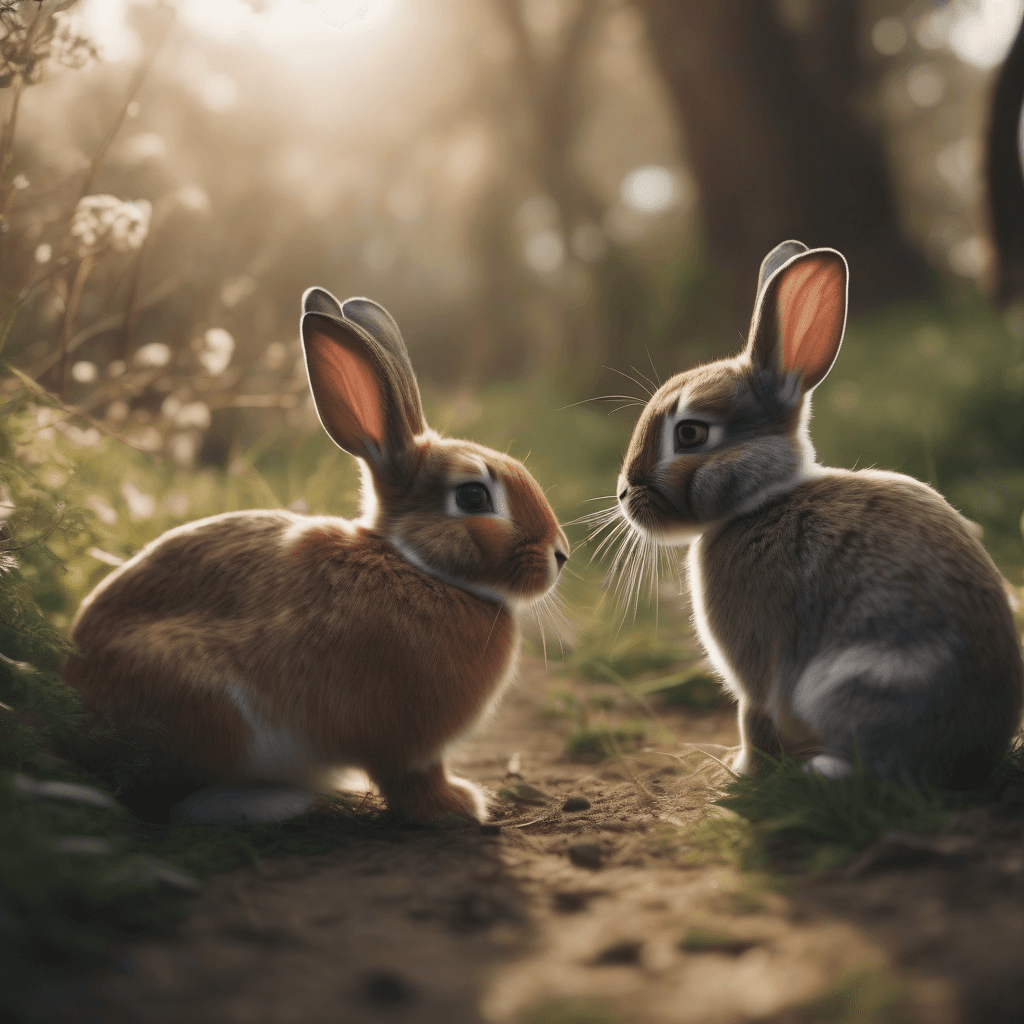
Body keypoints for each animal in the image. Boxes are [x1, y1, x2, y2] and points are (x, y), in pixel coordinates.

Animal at [62, 288, 569, 825]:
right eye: (473, 497)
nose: (560, 554)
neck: (412, 563)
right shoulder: (405, 745)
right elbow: (411, 781)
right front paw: (459, 806)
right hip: (209, 712)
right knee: (164, 802)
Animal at [614, 240, 1024, 788]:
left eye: (691, 434)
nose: (623, 493)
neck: (761, 499)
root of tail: (972, 758)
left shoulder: (758, 669)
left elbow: (755, 717)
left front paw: (738, 775)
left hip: (854, 680)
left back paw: (820, 770)